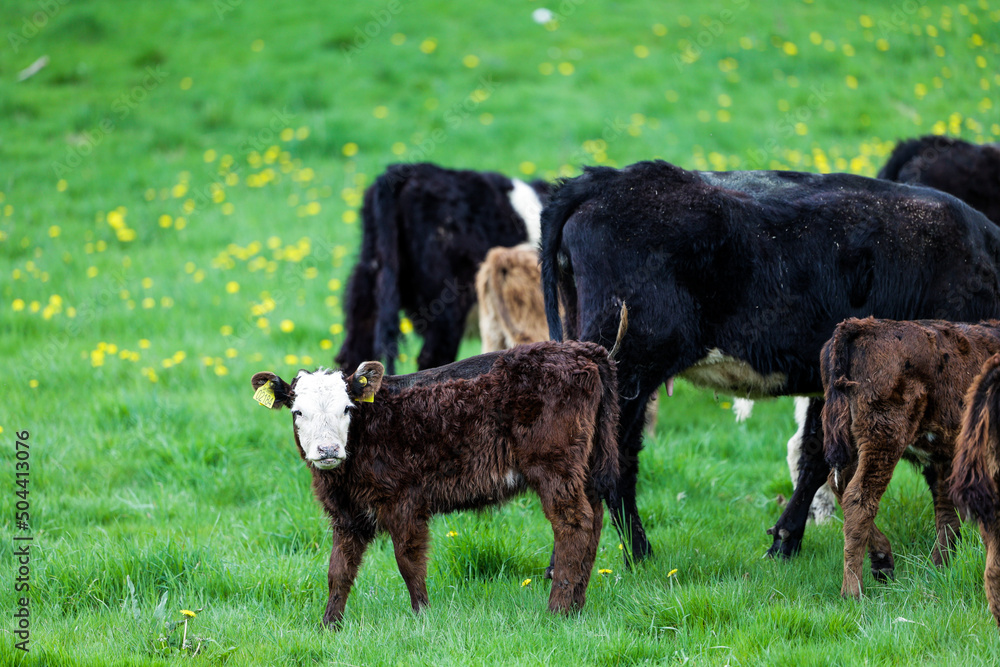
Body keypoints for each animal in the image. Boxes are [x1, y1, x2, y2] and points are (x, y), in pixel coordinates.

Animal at [252, 340, 619, 627]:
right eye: (298, 412)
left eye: (347, 408)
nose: (328, 450)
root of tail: (580, 349)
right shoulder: (346, 514)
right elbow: (338, 570)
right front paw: (330, 624)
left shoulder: (404, 503)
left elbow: (408, 562)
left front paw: (422, 615)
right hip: (585, 467)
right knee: (594, 519)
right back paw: (577, 605)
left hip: (554, 466)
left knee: (573, 523)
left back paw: (558, 610)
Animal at [540, 159, 1000, 565]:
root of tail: (604, 180)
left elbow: (816, 455)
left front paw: (785, 541)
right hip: (630, 364)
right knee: (612, 462)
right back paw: (636, 555)